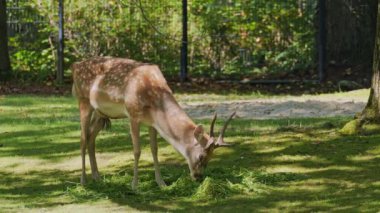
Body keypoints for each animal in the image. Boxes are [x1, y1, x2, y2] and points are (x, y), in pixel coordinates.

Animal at [71, 56, 235, 190]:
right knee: (83, 138)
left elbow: (154, 149)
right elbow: (137, 150)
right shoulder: (132, 114)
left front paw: (161, 183)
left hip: (101, 113)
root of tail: (75, 65)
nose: (198, 177)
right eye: (201, 156)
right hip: (83, 101)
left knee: (91, 137)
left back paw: (97, 177)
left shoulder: (152, 122)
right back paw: (83, 181)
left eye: (211, 157)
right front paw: (134, 185)